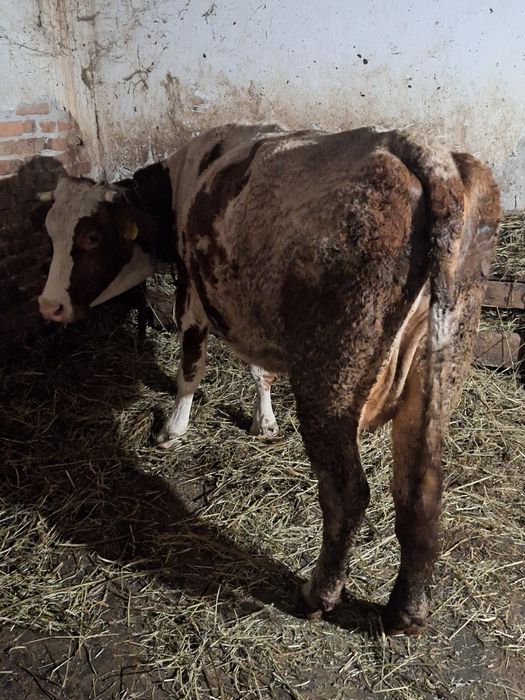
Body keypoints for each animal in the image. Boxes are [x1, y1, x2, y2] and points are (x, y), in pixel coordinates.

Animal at [37, 124, 500, 634]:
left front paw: (174, 427)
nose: (48, 306)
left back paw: (318, 595)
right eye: (50, 232)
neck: (183, 182)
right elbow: (258, 370)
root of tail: (423, 152)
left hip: (330, 382)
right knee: (421, 491)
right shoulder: (243, 308)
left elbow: (191, 366)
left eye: (91, 237)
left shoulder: (195, 293)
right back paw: (405, 613)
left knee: (348, 494)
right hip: (437, 371)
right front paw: (264, 421)